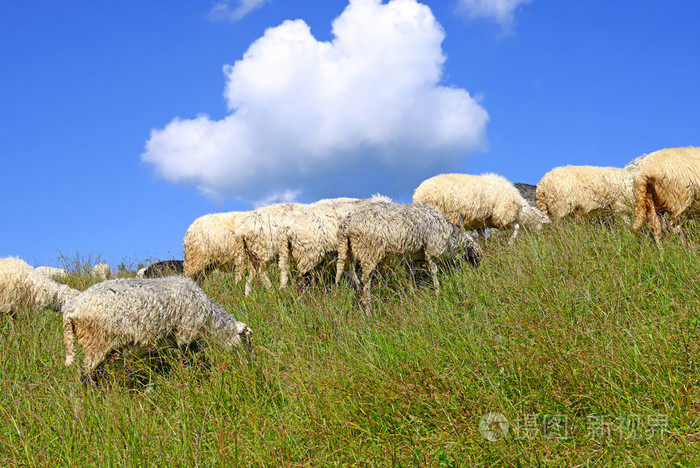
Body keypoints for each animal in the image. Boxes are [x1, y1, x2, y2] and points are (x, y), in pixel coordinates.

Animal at [63, 276, 254, 386]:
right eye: (247, 341)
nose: (252, 362)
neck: (211, 321)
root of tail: (71, 309)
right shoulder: (185, 336)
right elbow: (186, 362)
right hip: (96, 342)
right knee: (86, 376)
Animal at [334, 203, 482, 316]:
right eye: (475, 259)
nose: (476, 274)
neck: (451, 235)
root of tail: (345, 226)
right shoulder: (431, 248)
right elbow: (433, 271)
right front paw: (437, 292)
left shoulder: (411, 255)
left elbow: (411, 275)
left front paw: (412, 296)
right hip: (369, 251)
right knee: (365, 282)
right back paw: (368, 311)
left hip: (349, 252)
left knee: (356, 280)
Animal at [410, 173, 548, 245]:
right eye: (541, 225)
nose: (542, 238)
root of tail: (418, 194)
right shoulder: (503, 216)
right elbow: (517, 227)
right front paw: (510, 243)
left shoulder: (481, 223)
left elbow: (482, 237)